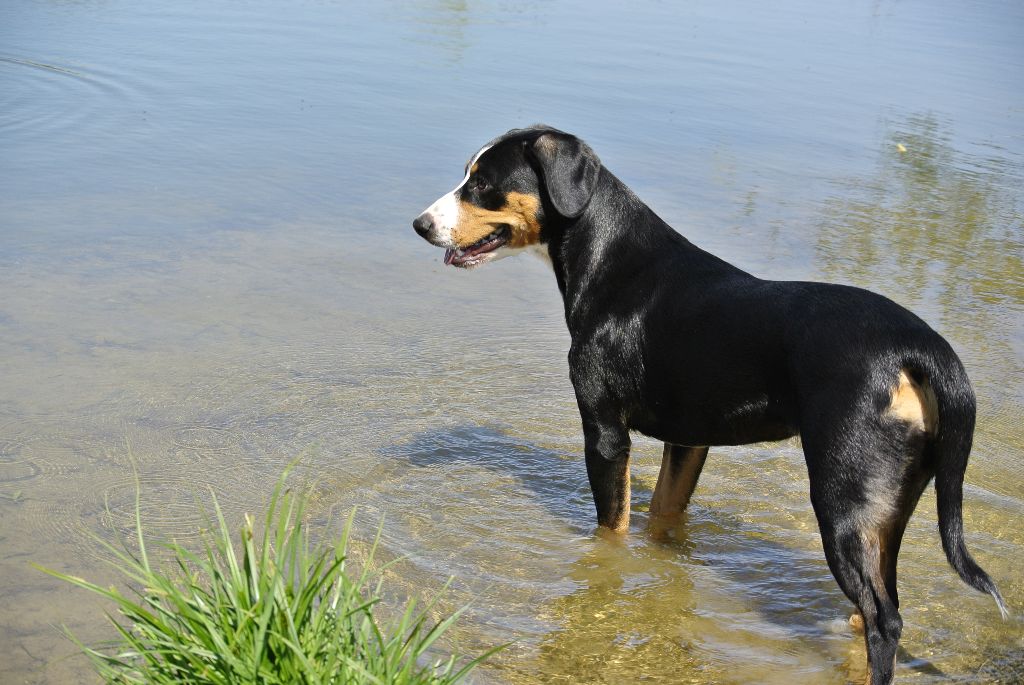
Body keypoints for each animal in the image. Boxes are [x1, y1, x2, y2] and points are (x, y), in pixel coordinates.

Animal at [409, 125, 1007, 679]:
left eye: (483, 184)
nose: (420, 225)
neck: (612, 261)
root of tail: (920, 349)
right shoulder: (688, 441)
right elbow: (660, 522)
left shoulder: (604, 433)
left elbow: (612, 530)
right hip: (887, 510)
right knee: (877, 608)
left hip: (843, 499)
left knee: (885, 620)